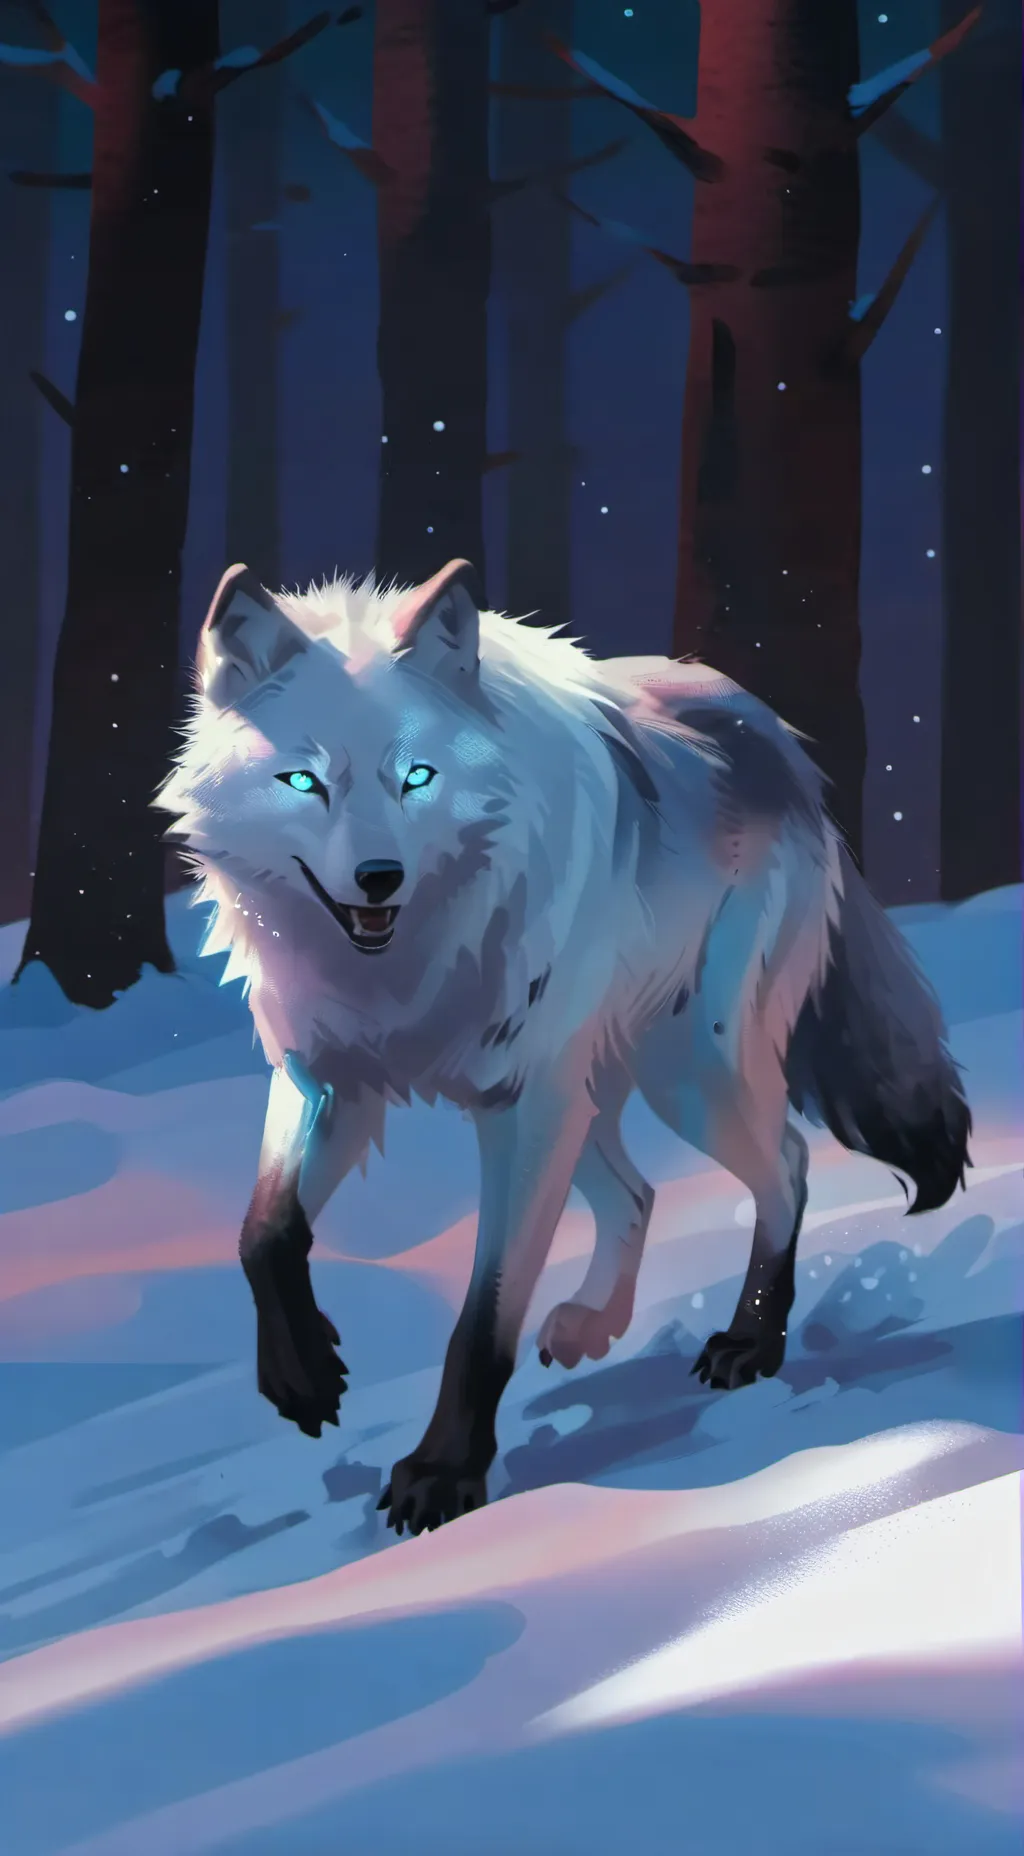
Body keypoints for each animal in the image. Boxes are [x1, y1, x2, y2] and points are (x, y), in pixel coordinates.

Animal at [161, 557, 971, 1536]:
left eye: (417, 778)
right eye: (305, 783)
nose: (380, 878)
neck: (407, 963)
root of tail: (773, 735)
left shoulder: (521, 1107)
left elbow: (482, 1318)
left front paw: (444, 1476)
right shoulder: (331, 1079)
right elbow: (263, 1233)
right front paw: (304, 1377)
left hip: (684, 1075)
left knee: (785, 1162)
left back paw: (749, 1342)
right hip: (594, 1099)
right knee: (640, 1192)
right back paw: (593, 1324)